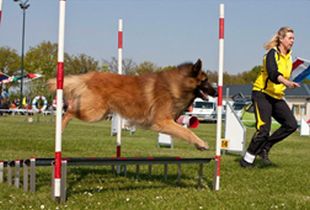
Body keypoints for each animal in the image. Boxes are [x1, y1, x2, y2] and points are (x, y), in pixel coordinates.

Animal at [49, 59, 218, 150]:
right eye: (205, 80)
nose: (216, 92)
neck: (177, 85)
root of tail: (90, 76)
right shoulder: (163, 122)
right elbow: (187, 131)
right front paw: (202, 143)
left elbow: (184, 131)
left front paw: (198, 145)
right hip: (94, 113)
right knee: (69, 110)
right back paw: (60, 128)